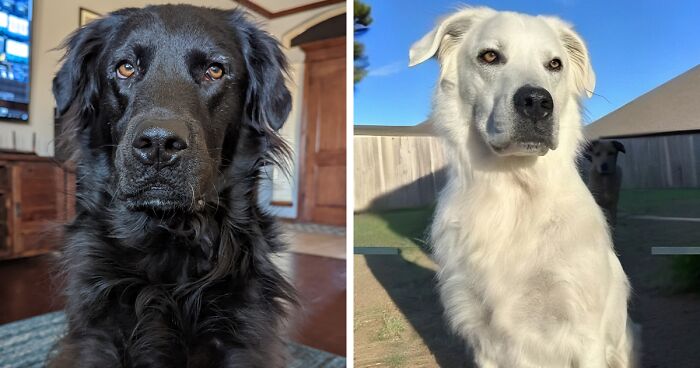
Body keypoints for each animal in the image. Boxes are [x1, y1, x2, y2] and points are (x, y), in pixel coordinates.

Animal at [410, 7, 636, 366]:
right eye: (489, 56)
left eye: (554, 64)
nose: (537, 102)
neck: (515, 191)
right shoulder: (483, 338)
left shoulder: (586, 332)